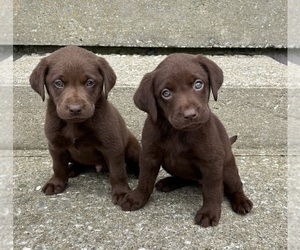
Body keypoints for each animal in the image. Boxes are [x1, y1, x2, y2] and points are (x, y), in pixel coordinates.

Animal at [29, 46, 141, 204]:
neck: (74, 125)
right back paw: (71, 169)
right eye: (58, 83)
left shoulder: (113, 147)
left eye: (90, 82)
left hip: (132, 150)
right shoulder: (55, 146)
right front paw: (56, 183)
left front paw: (122, 192)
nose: (75, 109)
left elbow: (117, 172)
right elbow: (58, 167)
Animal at [119, 53, 253, 228]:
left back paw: (242, 201)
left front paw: (209, 212)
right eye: (166, 93)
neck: (177, 132)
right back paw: (169, 182)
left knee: (235, 186)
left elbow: (212, 190)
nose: (190, 114)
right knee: (185, 178)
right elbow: (144, 179)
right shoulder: (149, 156)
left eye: (198, 84)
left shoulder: (211, 162)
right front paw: (137, 198)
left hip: (228, 170)